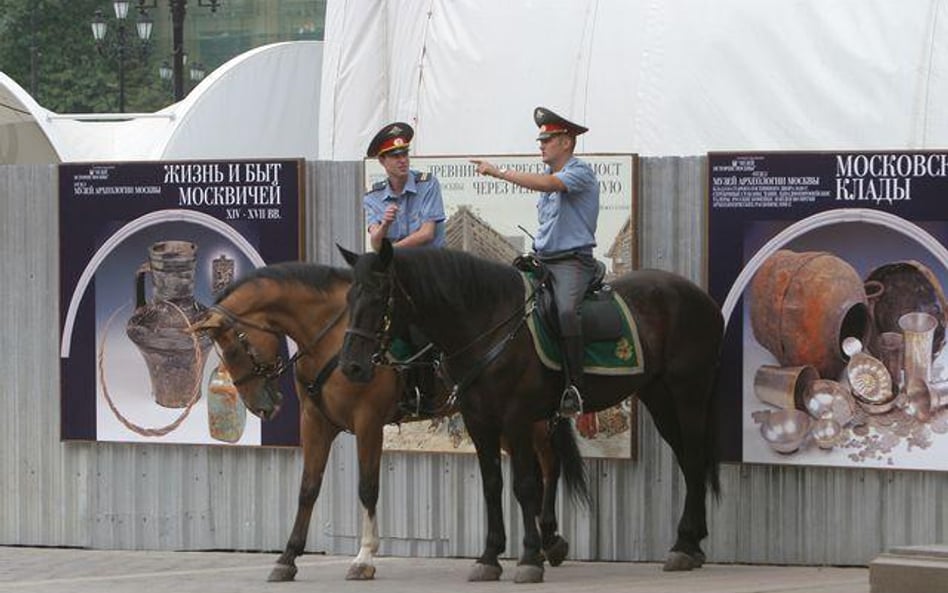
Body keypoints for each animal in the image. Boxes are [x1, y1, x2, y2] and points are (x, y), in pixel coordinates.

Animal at [189, 262, 580, 580]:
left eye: (234, 348)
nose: (262, 407)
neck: (334, 335)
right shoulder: (315, 422)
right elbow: (308, 488)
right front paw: (287, 558)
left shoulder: (368, 422)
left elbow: (367, 487)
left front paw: (364, 558)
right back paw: (547, 543)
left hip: (519, 418)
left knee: (549, 463)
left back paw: (548, 541)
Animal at [336, 242, 724, 584]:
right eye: (349, 297)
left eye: (379, 297)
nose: (351, 367)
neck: (487, 324)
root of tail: (701, 298)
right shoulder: (479, 422)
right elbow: (493, 485)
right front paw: (489, 558)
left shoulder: (516, 418)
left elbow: (525, 485)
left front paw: (529, 559)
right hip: (659, 397)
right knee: (689, 459)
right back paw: (693, 545)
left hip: (688, 393)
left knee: (692, 459)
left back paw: (683, 545)